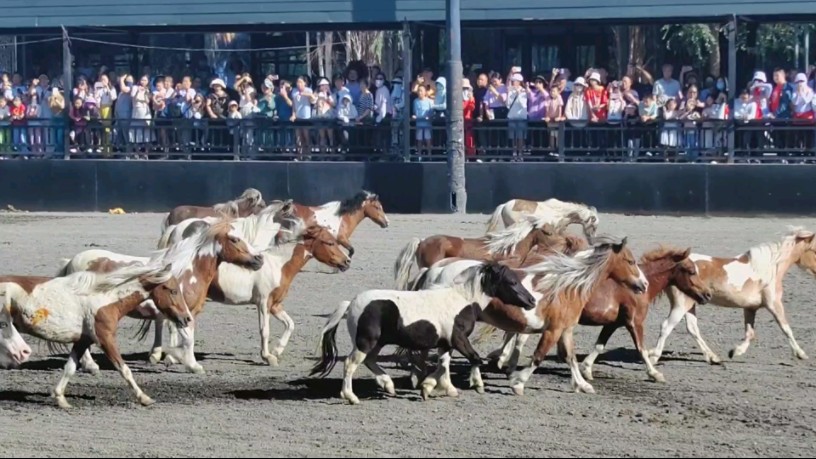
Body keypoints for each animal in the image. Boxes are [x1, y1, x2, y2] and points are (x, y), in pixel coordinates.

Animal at [0, 262, 188, 410]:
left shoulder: (83, 341)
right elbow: (124, 369)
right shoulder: (105, 339)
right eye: (173, 291)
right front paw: (145, 398)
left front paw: (61, 399)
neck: (106, 298)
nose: (186, 318)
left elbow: (70, 368)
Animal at [204, 223, 350, 366]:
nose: (347, 261)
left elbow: (290, 324)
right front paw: (268, 357)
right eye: (330, 243)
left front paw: (277, 351)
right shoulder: (263, 303)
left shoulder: (275, 305)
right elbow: (265, 330)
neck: (278, 266)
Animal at [310, 262, 536, 406]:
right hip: (365, 342)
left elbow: (443, 364)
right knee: (350, 364)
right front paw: (478, 385)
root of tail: (351, 304)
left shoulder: (445, 343)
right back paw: (351, 397)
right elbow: (474, 358)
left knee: (370, 361)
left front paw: (436, 388)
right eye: (512, 281)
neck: (462, 300)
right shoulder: (458, 338)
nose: (532, 301)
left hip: (377, 343)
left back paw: (388, 386)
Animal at [652, 227, 816, 366]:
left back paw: (713, 357)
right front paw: (801, 353)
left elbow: (750, 333)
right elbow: (786, 328)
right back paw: (653, 357)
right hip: (681, 305)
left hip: (690, 304)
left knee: (692, 328)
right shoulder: (773, 304)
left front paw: (734, 352)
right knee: (666, 326)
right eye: (815, 250)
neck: (770, 267)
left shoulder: (750, 308)